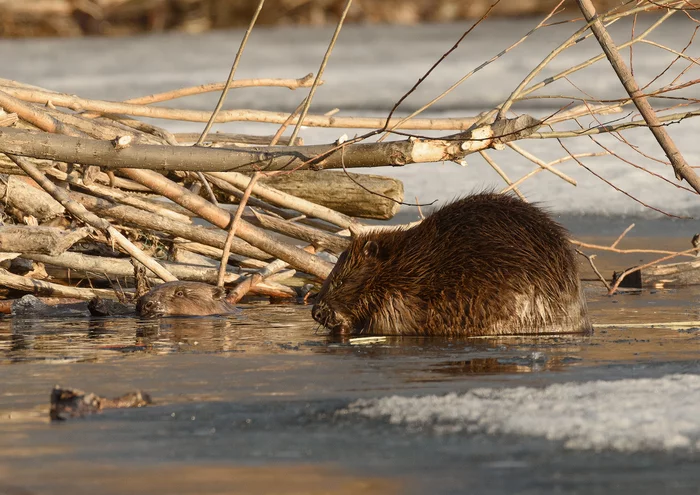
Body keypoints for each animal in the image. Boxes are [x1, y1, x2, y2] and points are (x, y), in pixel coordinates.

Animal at [312, 193, 592, 338]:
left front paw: (344, 328)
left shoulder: (401, 297)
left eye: (339, 281)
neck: (406, 264)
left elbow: (391, 323)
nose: (316, 312)